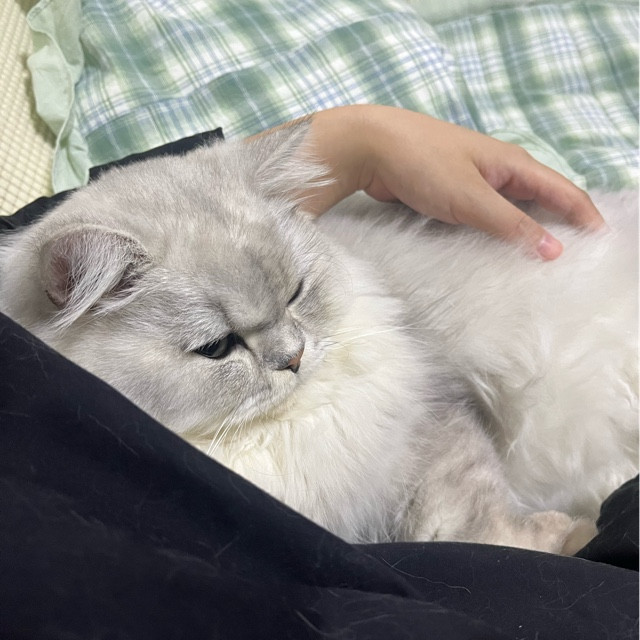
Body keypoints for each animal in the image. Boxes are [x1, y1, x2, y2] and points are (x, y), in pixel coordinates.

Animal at [0, 124, 637, 553]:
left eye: (295, 294)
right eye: (217, 348)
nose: (294, 358)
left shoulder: (436, 422)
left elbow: (477, 518)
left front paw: (570, 534)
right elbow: (469, 532)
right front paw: (576, 535)